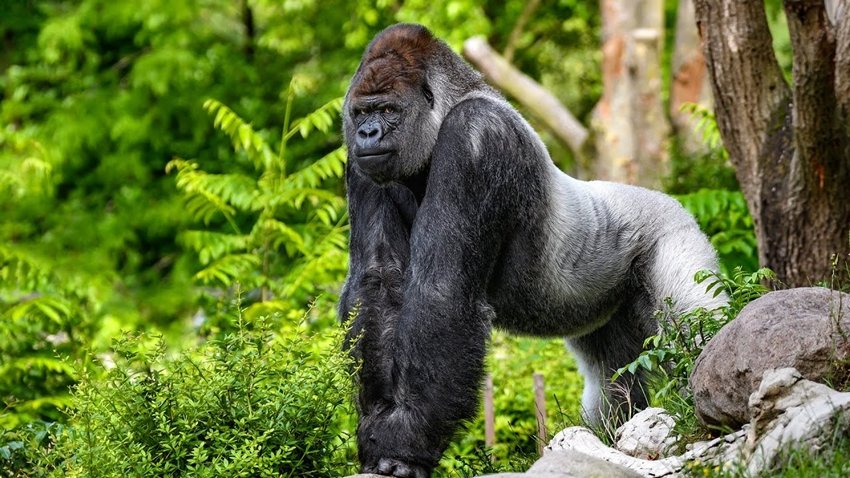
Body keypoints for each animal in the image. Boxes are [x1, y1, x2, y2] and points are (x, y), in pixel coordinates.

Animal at [338, 23, 725, 478]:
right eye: (361, 113)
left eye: (387, 110)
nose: (367, 134)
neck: (448, 109)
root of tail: (674, 203)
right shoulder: (361, 163)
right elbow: (377, 281)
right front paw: (377, 428)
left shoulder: (478, 137)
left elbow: (442, 291)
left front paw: (405, 441)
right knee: (611, 377)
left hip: (675, 234)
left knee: (698, 329)